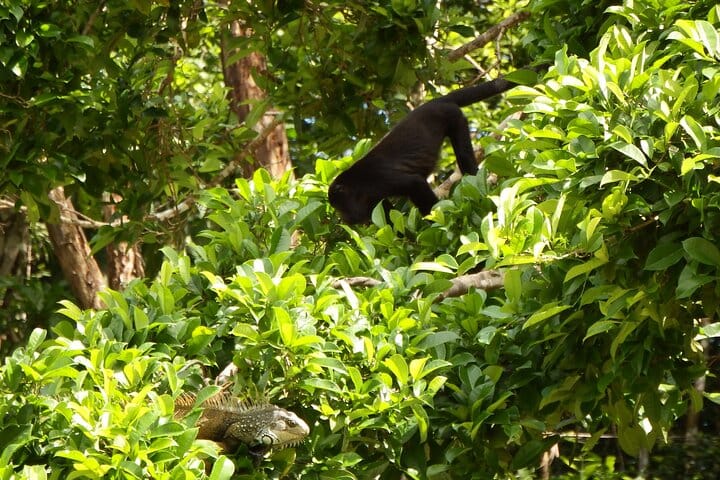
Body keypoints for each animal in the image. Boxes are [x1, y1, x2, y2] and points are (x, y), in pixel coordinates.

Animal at [328, 76, 519, 225]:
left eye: (340, 207)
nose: (344, 219)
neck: (356, 187)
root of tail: (436, 101)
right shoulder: (372, 199)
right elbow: (385, 214)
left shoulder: (377, 180)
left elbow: (414, 183)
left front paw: (436, 220)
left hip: (454, 116)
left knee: (464, 156)